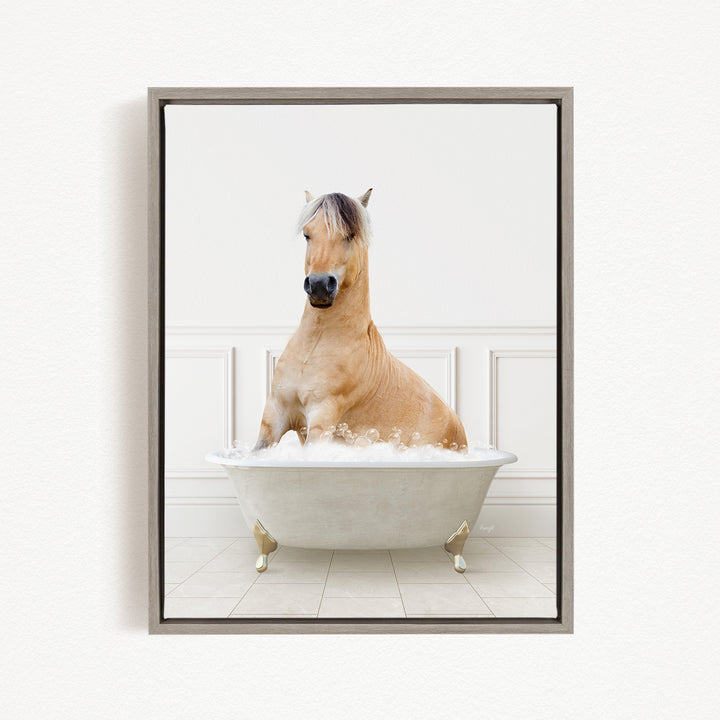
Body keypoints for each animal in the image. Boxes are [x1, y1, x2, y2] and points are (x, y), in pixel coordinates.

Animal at [254, 189, 467, 451]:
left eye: (349, 235)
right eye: (307, 235)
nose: (319, 285)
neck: (314, 346)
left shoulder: (322, 418)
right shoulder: (275, 414)